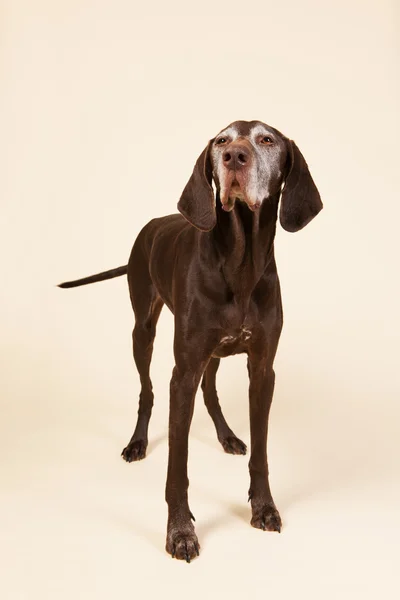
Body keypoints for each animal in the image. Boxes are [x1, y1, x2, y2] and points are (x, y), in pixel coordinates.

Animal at [58, 120, 322, 564]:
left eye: (267, 139)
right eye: (222, 140)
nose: (235, 156)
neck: (240, 262)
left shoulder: (262, 370)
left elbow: (261, 453)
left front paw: (263, 507)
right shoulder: (181, 374)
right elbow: (177, 465)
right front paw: (180, 531)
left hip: (211, 353)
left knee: (210, 389)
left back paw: (227, 435)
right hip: (143, 331)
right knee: (147, 391)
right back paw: (137, 442)